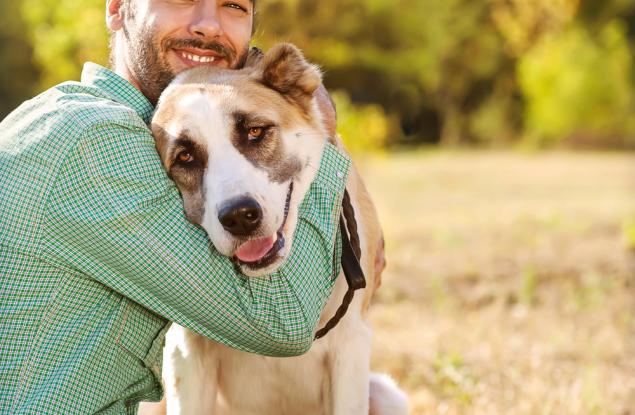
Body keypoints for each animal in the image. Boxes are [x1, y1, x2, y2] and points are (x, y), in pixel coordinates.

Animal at [139, 43, 408, 415]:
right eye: (185, 157)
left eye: (255, 132)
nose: (239, 216)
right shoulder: (186, 351)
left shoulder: (350, 344)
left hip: (385, 394)